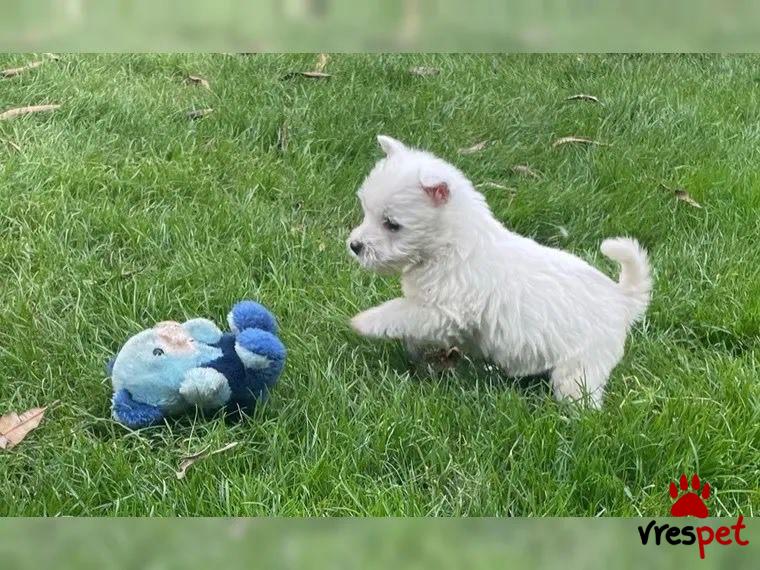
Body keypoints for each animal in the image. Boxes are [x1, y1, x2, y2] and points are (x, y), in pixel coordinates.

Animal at [347, 135, 651, 407]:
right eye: (366, 211)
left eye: (392, 224)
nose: (354, 246)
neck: (451, 245)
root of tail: (622, 298)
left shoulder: (442, 310)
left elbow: (398, 310)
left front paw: (364, 322)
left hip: (582, 364)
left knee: (581, 393)